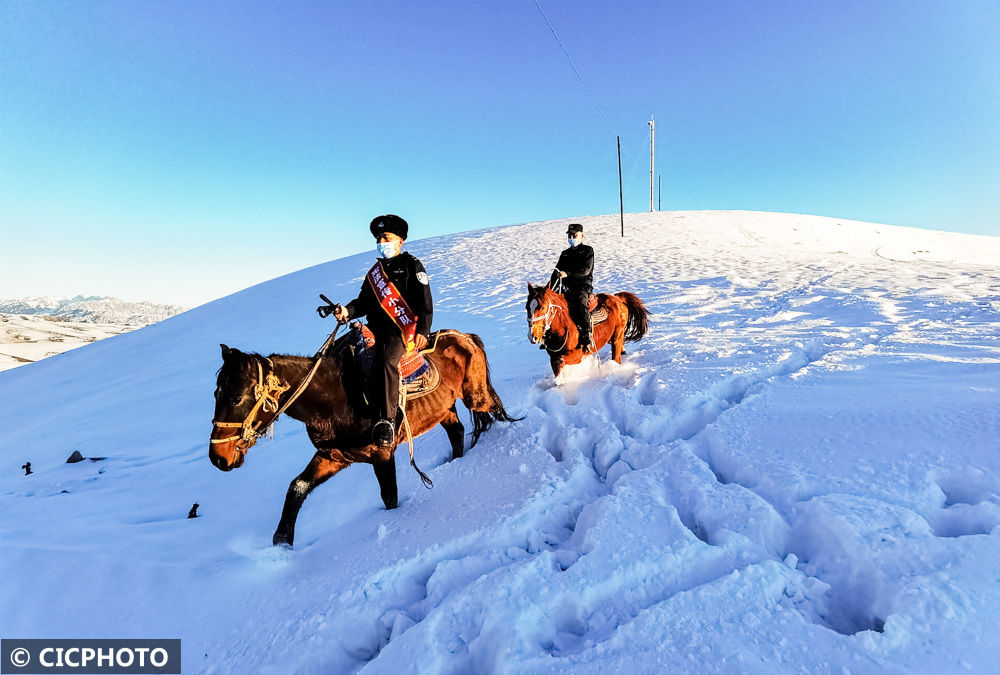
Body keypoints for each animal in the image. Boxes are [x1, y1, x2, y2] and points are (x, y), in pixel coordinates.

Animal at [205, 332, 516, 548]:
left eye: (236, 397)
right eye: (216, 394)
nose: (219, 458)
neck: (337, 398)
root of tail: (464, 336)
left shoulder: (382, 453)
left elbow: (389, 496)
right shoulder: (333, 456)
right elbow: (297, 487)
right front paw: (282, 543)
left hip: (476, 395)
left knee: (493, 411)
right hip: (444, 409)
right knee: (458, 433)